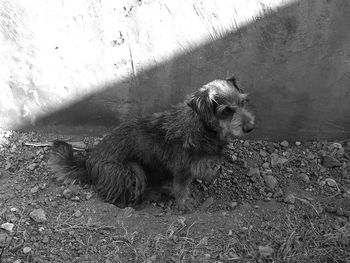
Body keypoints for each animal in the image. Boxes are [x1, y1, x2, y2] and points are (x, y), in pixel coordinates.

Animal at [49, 77, 254, 211]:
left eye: (243, 102)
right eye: (226, 111)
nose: (250, 127)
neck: (202, 127)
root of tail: (88, 160)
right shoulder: (181, 170)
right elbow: (181, 190)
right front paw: (185, 206)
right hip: (131, 170)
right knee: (121, 197)